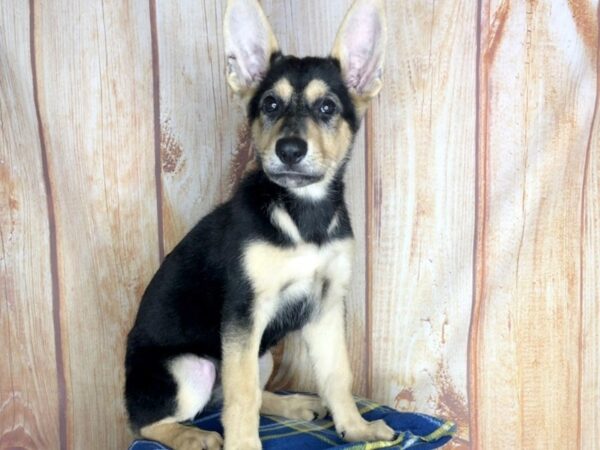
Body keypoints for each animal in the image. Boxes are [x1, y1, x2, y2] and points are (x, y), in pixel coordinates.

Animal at [124, 0, 392, 450]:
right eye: (270, 105)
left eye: (327, 107)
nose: (289, 150)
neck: (302, 216)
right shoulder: (244, 313)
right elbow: (242, 395)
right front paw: (243, 444)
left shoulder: (325, 306)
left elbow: (337, 375)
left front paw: (355, 427)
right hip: (192, 368)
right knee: (152, 421)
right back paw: (191, 436)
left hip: (262, 352)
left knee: (240, 394)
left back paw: (294, 405)